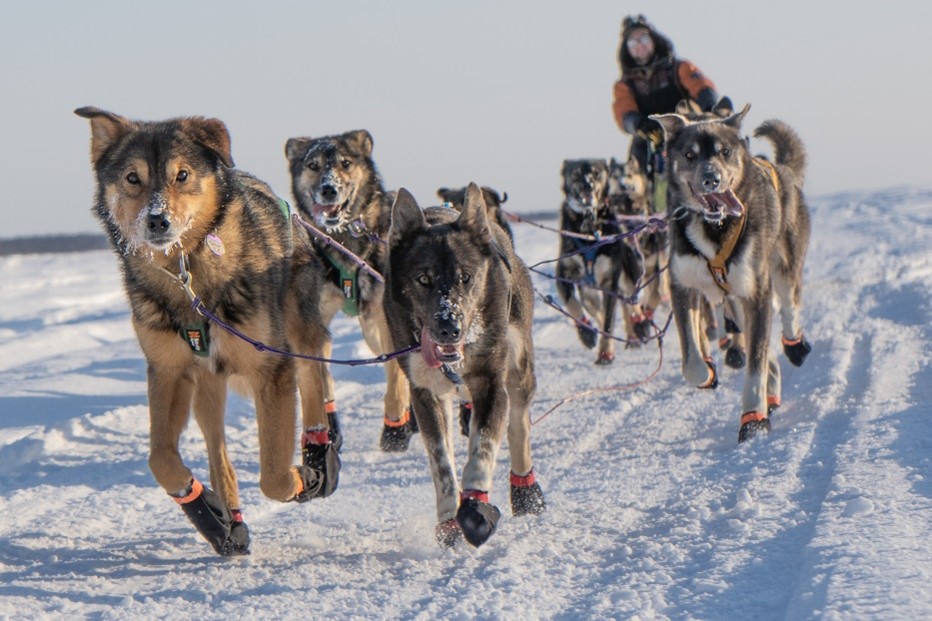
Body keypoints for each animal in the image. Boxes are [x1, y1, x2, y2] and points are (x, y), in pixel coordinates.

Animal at [384, 184, 548, 548]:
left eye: (466, 277)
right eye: (424, 278)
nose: (449, 327)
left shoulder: (491, 383)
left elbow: (482, 449)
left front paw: (475, 509)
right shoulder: (425, 393)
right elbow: (442, 463)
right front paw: (449, 522)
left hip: (519, 370)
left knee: (519, 426)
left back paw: (526, 493)